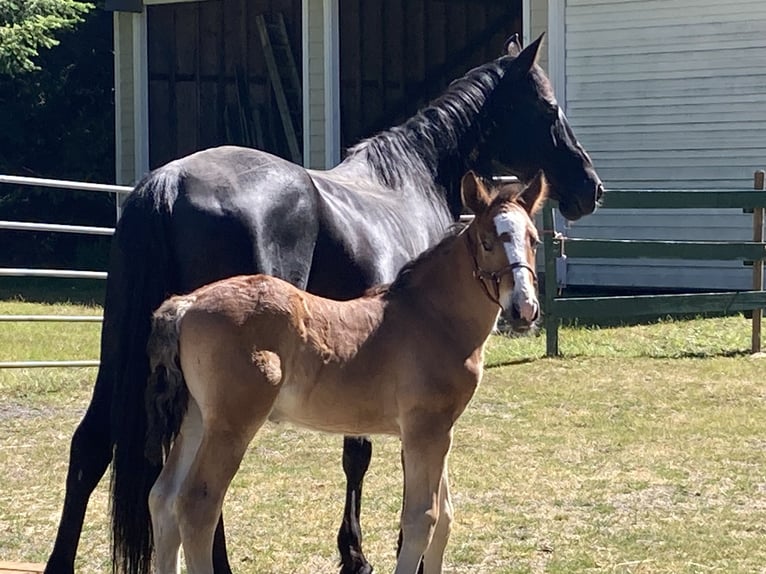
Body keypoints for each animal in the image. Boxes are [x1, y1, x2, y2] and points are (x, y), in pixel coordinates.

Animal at [143, 171, 546, 574]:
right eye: (487, 242)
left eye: (534, 240)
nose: (524, 309)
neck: (431, 316)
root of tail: (187, 303)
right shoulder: (425, 429)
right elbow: (421, 519)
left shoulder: (440, 431)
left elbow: (444, 518)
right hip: (231, 424)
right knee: (196, 504)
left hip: (197, 417)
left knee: (163, 497)